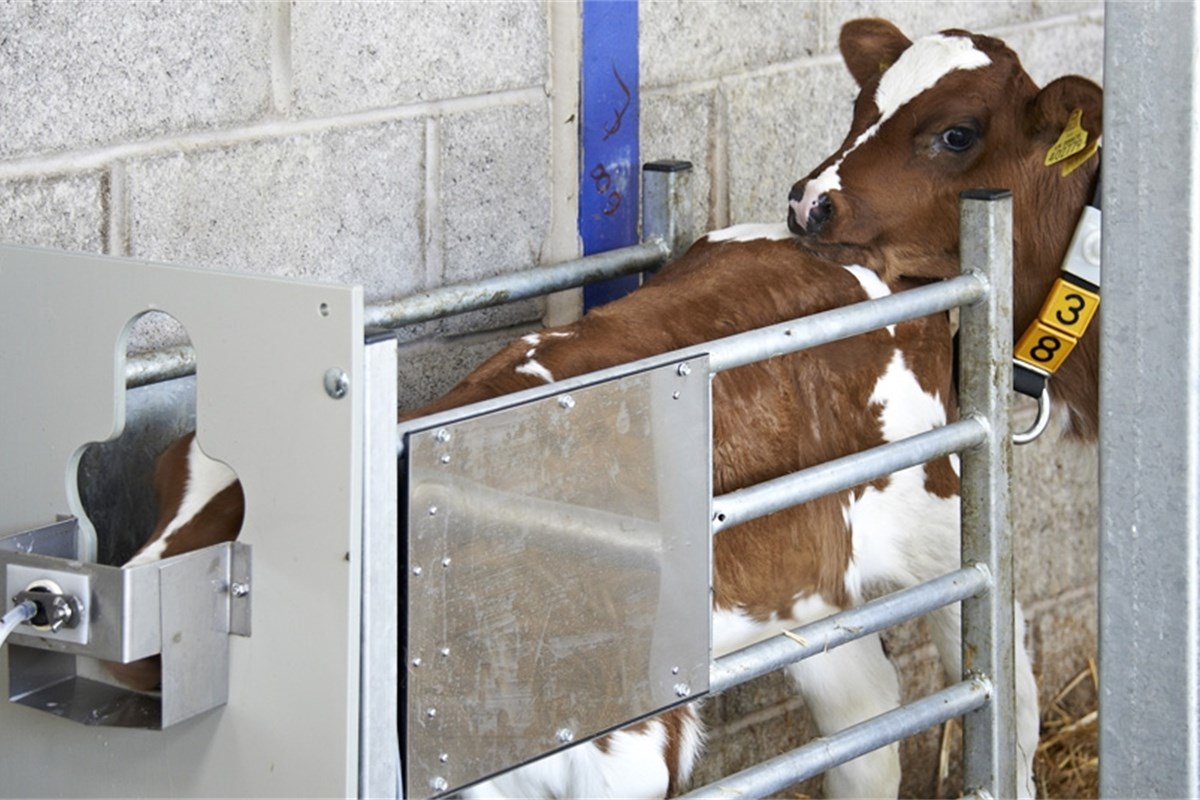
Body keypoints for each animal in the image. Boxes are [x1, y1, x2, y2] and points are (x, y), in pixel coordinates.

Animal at [108, 17, 1102, 799]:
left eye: (956, 132)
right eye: (865, 109)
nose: (812, 199)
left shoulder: (652, 727)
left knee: (974, 697)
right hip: (770, 622)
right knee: (862, 729)